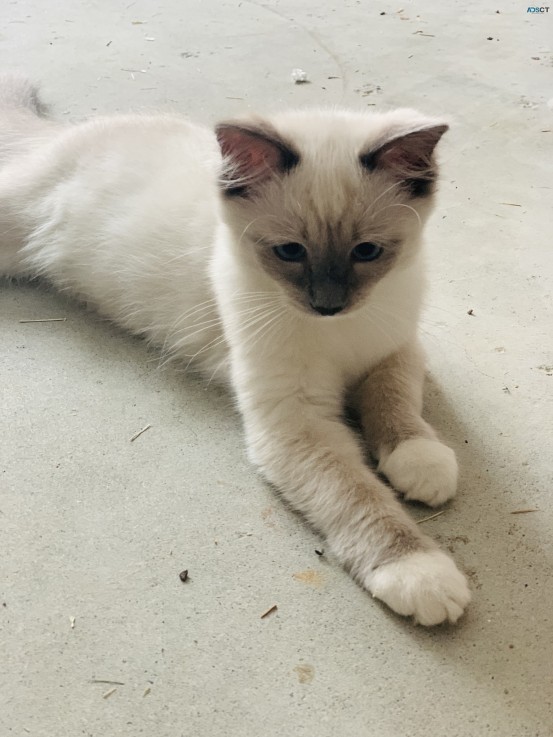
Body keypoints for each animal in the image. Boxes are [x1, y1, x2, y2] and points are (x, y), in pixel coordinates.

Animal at [0, 77, 470, 624]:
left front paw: (422, 463)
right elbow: (359, 496)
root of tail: (60, 134)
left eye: (367, 253)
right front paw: (420, 574)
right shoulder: (298, 423)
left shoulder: (393, 349)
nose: (328, 305)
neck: (339, 335)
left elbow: (397, 407)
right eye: (289, 252)